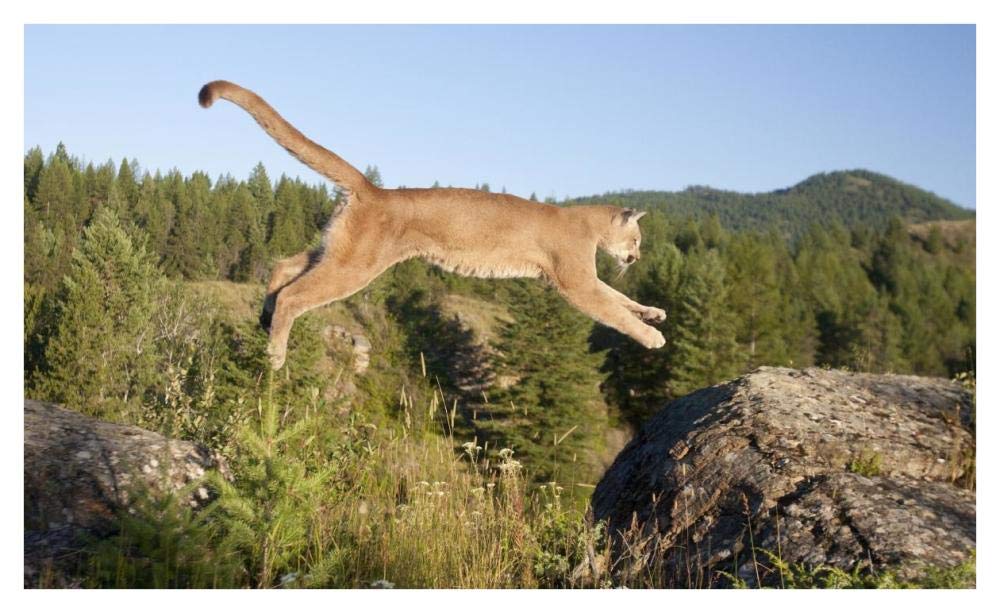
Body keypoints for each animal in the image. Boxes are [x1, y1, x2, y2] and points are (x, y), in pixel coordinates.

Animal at [199, 80, 666, 369]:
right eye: (637, 238)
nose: (636, 257)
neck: (588, 222)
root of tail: (373, 190)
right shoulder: (575, 281)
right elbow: (611, 308)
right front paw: (651, 337)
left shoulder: (583, 278)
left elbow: (620, 298)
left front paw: (653, 312)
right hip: (357, 263)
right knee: (295, 295)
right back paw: (275, 354)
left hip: (337, 248)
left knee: (283, 267)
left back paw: (264, 318)